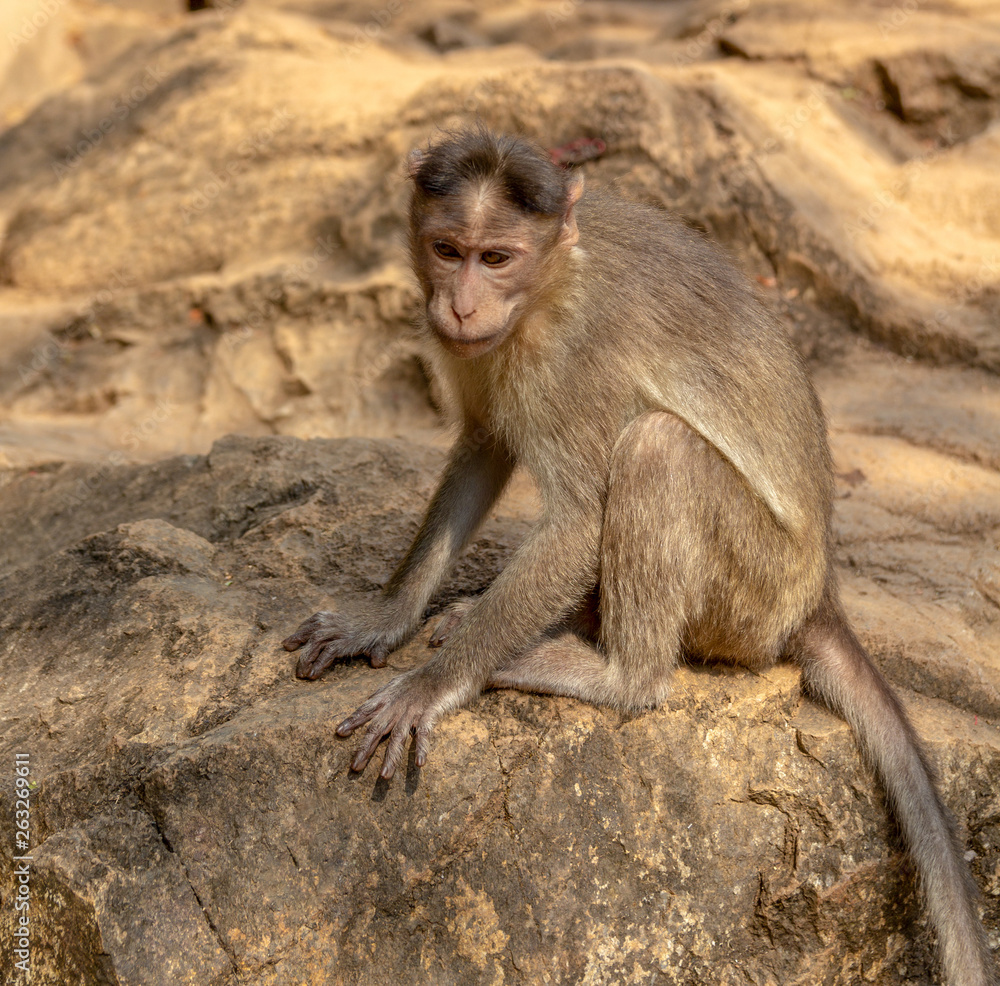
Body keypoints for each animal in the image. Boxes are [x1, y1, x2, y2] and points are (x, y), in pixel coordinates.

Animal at [283, 127, 995, 986]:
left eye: (497, 258)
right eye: (447, 249)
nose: (459, 304)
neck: (546, 285)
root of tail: (819, 593)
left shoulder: (571, 356)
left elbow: (580, 520)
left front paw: (431, 687)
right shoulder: (486, 351)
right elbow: (485, 443)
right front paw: (383, 618)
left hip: (751, 592)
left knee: (658, 447)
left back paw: (613, 673)